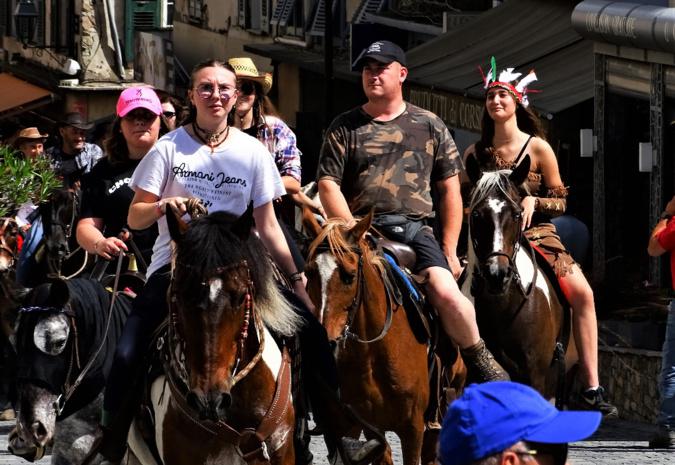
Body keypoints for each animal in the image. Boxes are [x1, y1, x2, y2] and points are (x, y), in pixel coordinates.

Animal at [306, 214, 464, 464]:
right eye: (309, 272)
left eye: (350, 276)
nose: (326, 340)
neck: (373, 354)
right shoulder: (366, 425)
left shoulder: (413, 430)